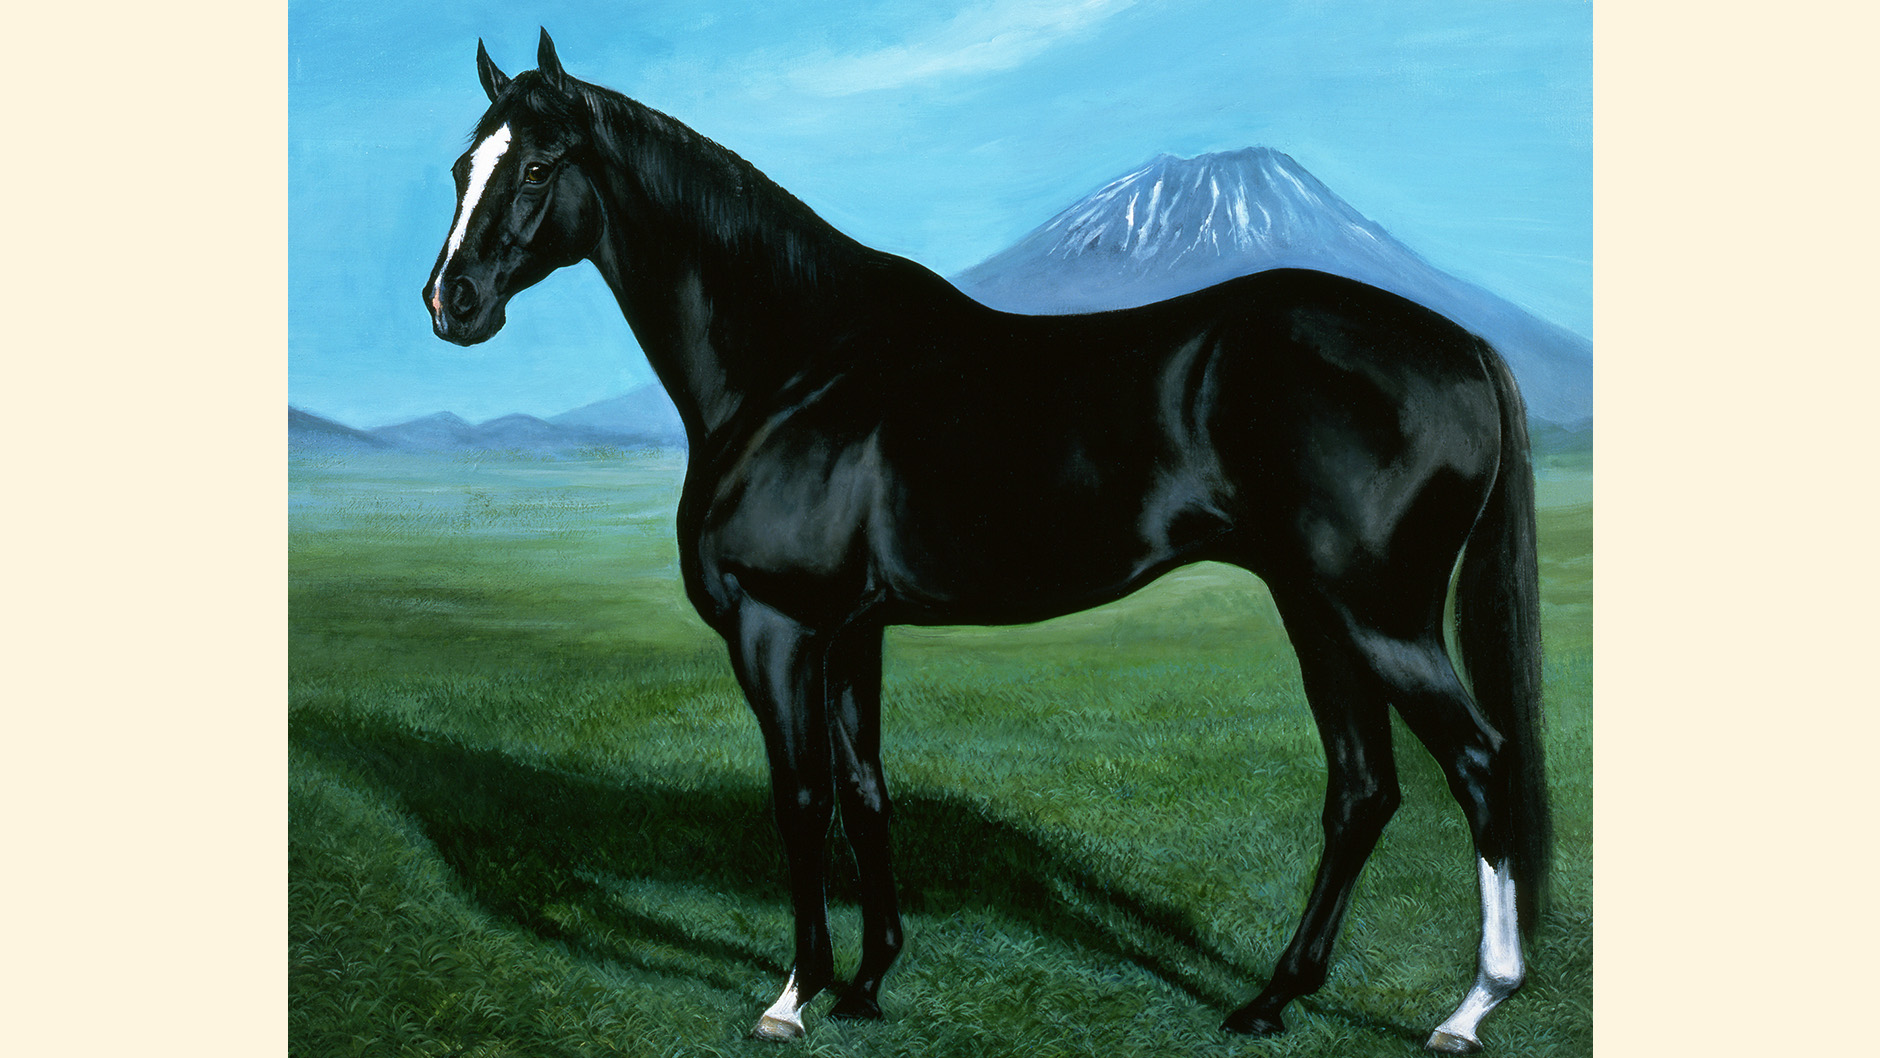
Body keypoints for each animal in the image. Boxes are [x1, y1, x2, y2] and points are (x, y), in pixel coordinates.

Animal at [424, 30, 1551, 1055]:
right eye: (460, 166)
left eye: (537, 166)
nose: (450, 302)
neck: (796, 365)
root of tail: (1461, 344)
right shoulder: (852, 631)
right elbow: (864, 792)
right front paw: (868, 982)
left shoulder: (778, 627)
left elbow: (800, 797)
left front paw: (793, 996)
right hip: (1317, 610)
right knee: (1362, 789)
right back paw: (1271, 999)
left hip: (1376, 615)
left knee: (1479, 761)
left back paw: (1468, 1009)